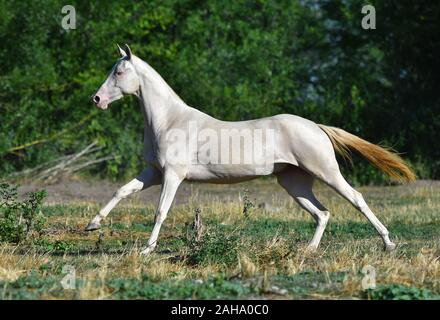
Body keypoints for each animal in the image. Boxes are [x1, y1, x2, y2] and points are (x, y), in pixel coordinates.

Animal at [87, 44, 416, 255]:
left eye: (119, 72)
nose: (97, 99)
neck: (169, 120)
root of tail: (316, 126)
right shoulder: (153, 172)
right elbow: (121, 191)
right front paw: (92, 225)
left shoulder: (172, 176)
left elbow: (160, 211)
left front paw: (146, 249)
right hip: (293, 182)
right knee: (322, 214)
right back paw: (309, 250)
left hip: (325, 172)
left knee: (356, 199)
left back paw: (388, 243)